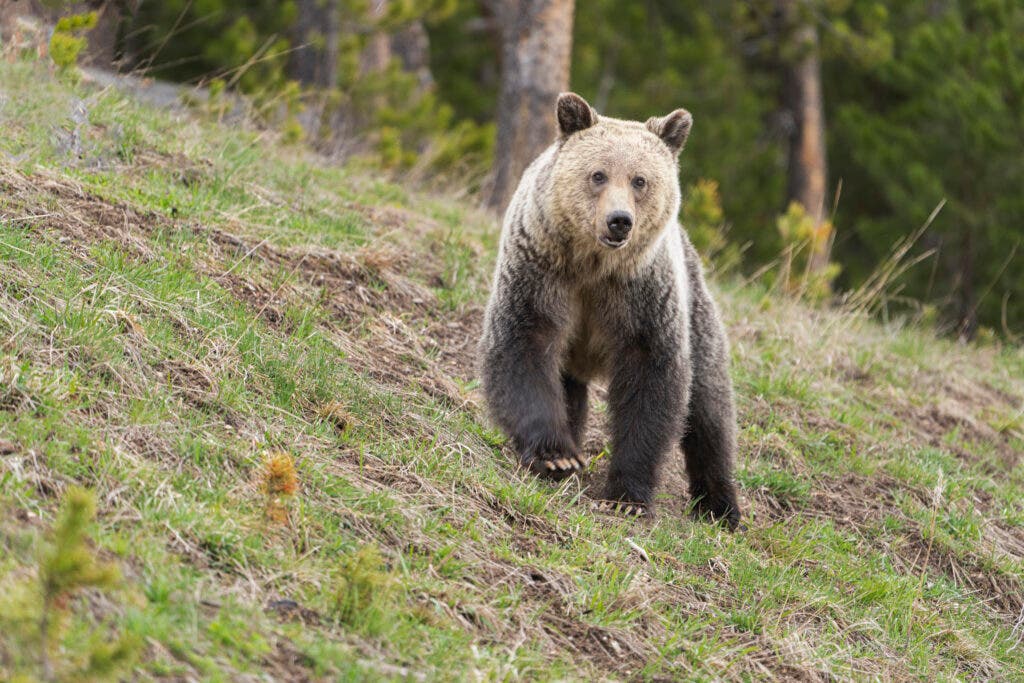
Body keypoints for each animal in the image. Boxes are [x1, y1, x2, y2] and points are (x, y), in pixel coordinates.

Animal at [478, 92, 741, 529]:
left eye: (640, 180)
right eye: (598, 174)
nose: (619, 221)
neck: (593, 265)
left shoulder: (643, 296)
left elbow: (652, 379)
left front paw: (626, 497)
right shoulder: (540, 272)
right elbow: (523, 344)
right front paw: (556, 457)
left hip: (697, 311)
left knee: (709, 410)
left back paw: (722, 506)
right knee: (569, 388)